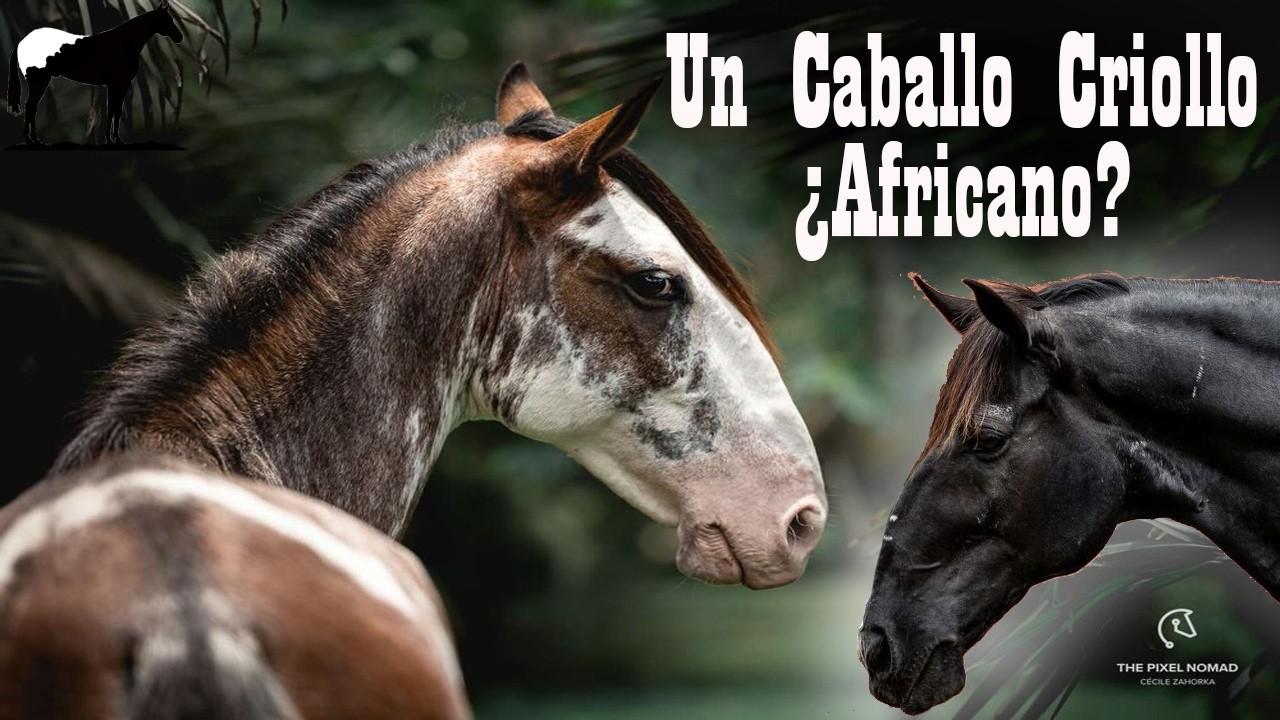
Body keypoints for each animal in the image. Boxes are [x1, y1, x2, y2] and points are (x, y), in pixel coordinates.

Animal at [6, 1, 182, 145]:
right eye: (168, 20)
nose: (180, 37)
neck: (124, 43)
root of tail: (22, 42)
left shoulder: (115, 85)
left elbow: (113, 110)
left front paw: (111, 138)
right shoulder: (119, 84)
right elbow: (115, 110)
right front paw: (113, 139)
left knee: (32, 107)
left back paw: (33, 139)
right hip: (40, 81)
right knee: (31, 106)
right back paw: (32, 139)